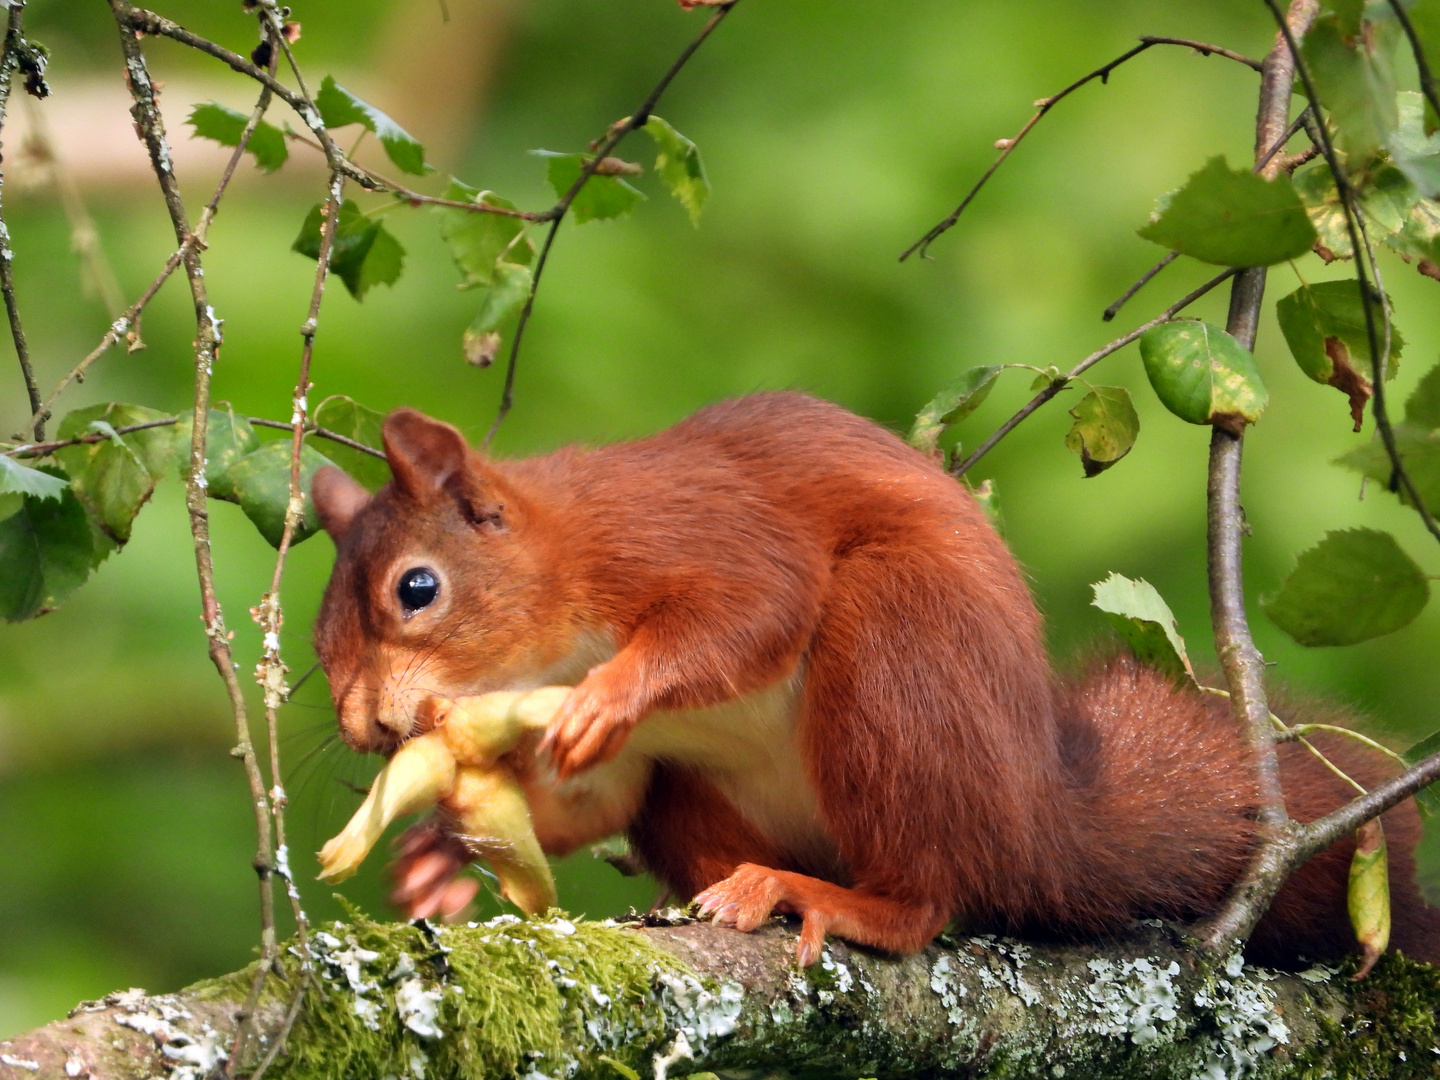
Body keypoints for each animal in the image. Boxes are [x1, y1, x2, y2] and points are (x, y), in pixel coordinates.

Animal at [312, 394, 1440, 967]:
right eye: (322, 635)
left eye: (418, 589)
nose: (363, 727)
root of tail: (1037, 825)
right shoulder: (631, 766)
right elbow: (594, 800)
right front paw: (438, 856)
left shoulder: (687, 533)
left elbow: (751, 610)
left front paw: (607, 696)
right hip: (711, 793)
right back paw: (740, 891)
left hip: (898, 654)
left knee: (929, 896)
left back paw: (820, 899)